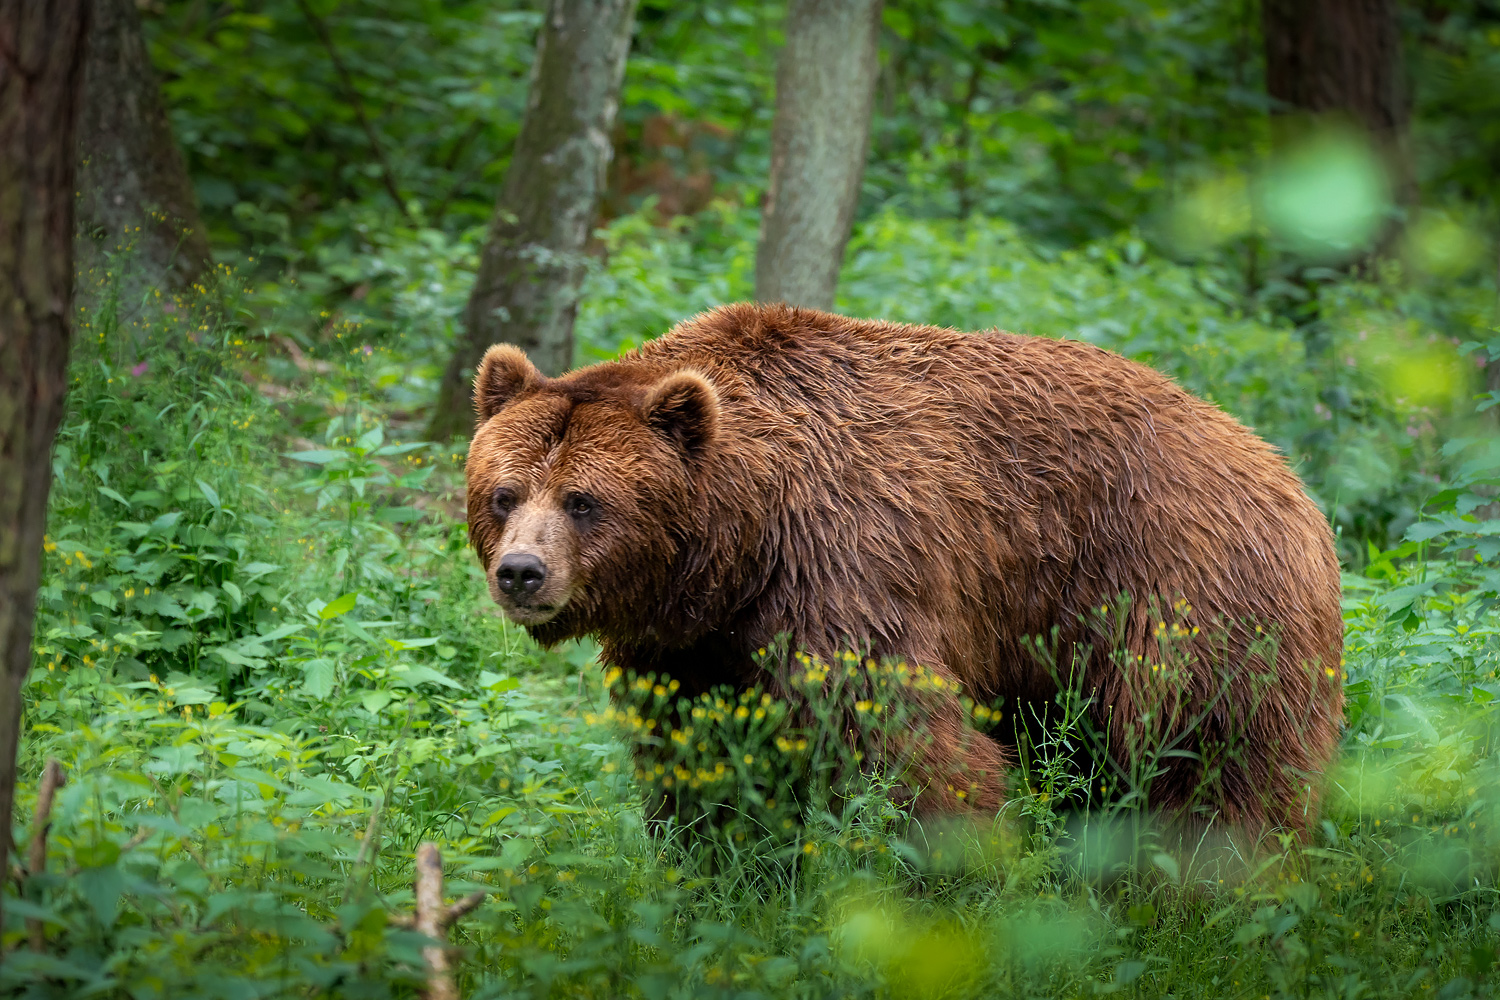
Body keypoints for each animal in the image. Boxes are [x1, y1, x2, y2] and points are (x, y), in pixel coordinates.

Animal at [462, 301, 1344, 833]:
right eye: (504, 493)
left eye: (583, 500)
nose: (523, 573)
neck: (740, 537)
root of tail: (1285, 472)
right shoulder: (691, 643)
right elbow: (702, 754)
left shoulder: (843, 566)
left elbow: (904, 741)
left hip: (1176, 590)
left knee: (1211, 749)